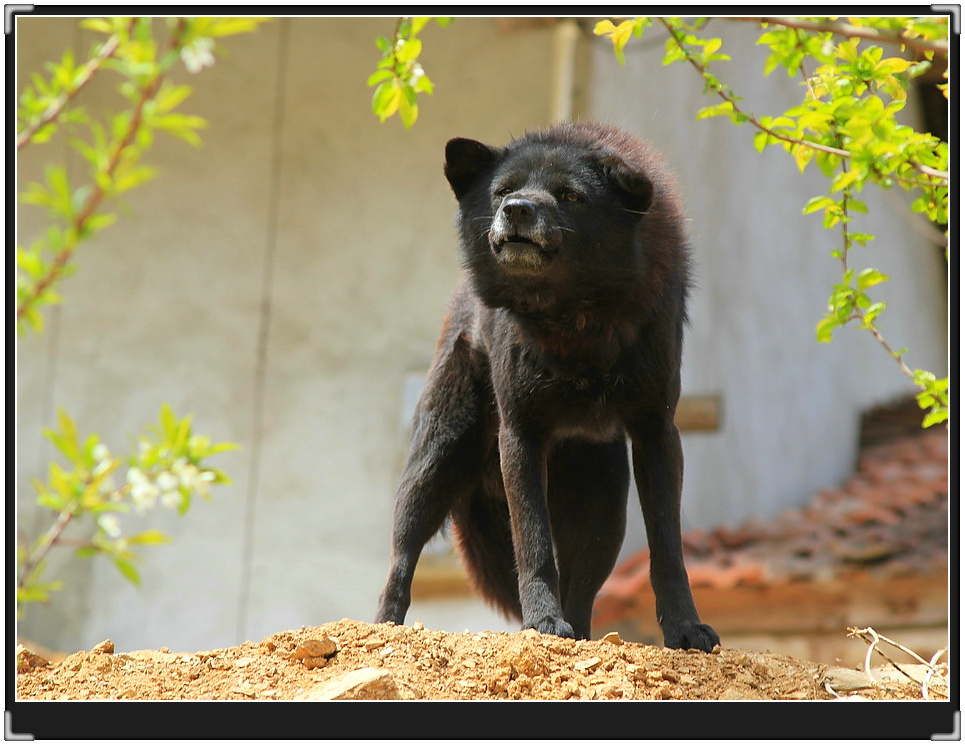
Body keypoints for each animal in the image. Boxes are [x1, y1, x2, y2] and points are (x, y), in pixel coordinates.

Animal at [372, 122, 720, 652]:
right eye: (502, 191)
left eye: (570, 195)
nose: (517, 209)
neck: (575, 322)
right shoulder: (521, 435)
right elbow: (534, 545)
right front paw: (541, 621)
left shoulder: (656, 433)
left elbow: (667, 546)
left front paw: (684, 627)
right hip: (434, 465)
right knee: (402, 554)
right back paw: (383, 627)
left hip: (604, 513)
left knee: (584, 584)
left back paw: (580, 635)